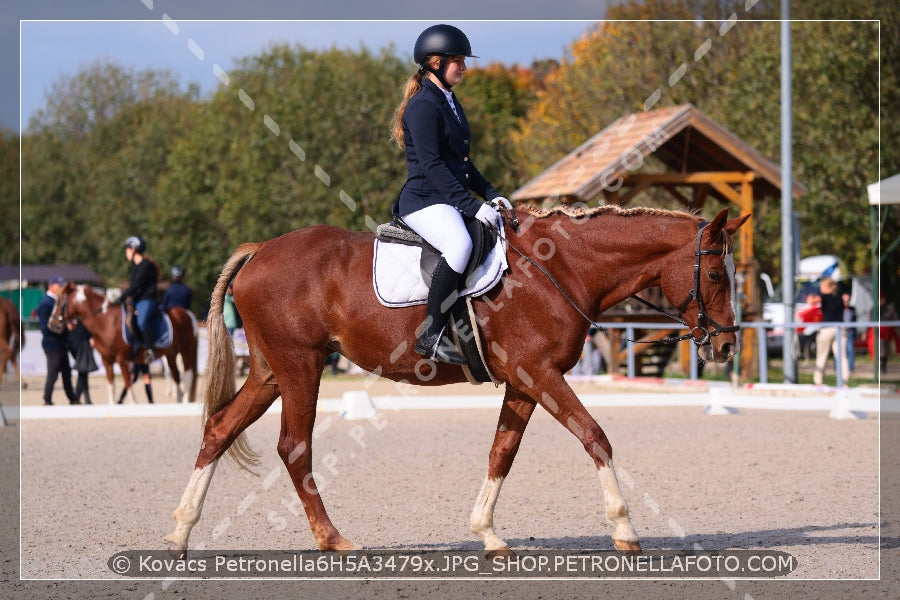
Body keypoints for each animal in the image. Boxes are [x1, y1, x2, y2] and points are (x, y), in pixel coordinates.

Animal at [47, 284, 199, 406]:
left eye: (60, 302)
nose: (51, 324)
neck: (105, 321)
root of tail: (188, 314)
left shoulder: (122, 359)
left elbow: (128, 383)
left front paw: (133, 404)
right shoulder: (107, 360)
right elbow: (111, 385)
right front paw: (112, 404)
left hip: (186, 350)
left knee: (187, 375)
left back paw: (185, 402)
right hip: (171, 354)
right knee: (176, 376)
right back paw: (178, 401)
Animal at [165, 205, 748, 556]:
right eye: (719, 275)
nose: (724, 346)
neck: (563, 269)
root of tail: (260, 250)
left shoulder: (524, 382)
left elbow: (501, 453)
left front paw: (486, 533)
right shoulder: (541, 374)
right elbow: (594, 436)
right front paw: (625, 529)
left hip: (270, 372)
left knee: (220, 429)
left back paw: (180, 530)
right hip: (300, 367)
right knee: (294, 446)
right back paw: (332, 539)